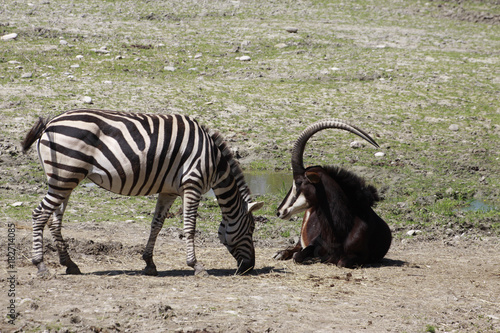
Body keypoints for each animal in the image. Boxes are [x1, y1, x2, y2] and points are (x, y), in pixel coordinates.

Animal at [21, 109, 264, 274]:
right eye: (251, 229)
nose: (249, 267)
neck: (214, 162)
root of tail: (50, 124)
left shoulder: (169, 190)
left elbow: (157, 224)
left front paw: (149, 263)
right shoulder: (192, 184)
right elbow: (190, 227)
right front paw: (196, 265)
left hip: (63, 179)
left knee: (54, 221)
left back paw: (70, 264)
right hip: (65, 175)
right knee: (39, 214)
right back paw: (41, 265)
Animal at [276, 119, 392, 268]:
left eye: (298, 182)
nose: (279, 211)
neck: (342, 228)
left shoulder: (358, 257)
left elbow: (340, 261)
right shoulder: (313, 243)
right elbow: (299, 255)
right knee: (296, 247)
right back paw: (280, 253)